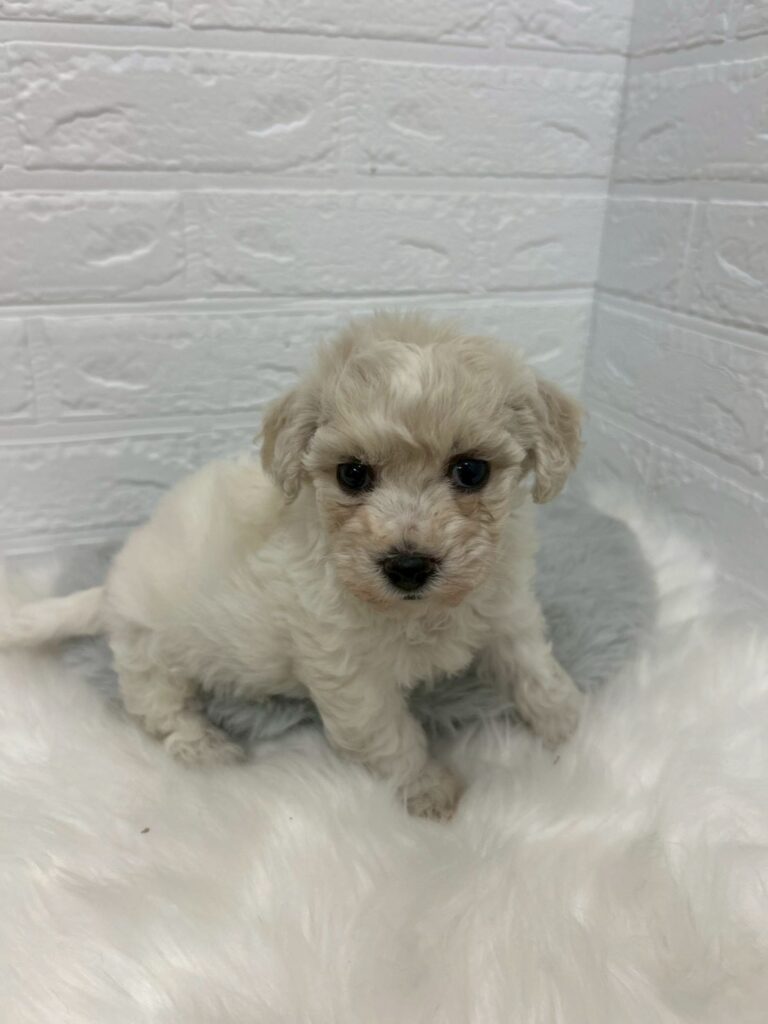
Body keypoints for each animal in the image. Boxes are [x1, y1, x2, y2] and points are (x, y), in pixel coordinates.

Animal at [1, 313, 585, 820]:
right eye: (352, 474)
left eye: (471, 471)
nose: (407, 566)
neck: (415, 610)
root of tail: (109, 587)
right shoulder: (349, 674)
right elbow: (389, 737)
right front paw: (428, 792)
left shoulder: (506, 614)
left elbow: (537, 676)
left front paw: (578, 734)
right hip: (149, 647)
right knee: (158, 706)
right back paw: (205, 746)